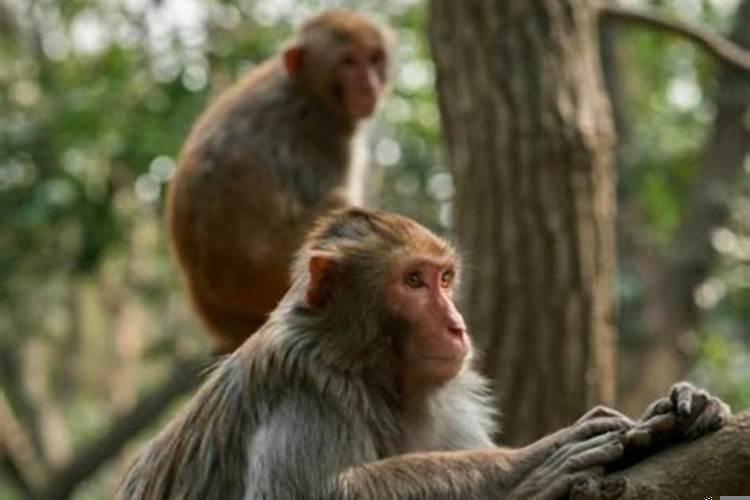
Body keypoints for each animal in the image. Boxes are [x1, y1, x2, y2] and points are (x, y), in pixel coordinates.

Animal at [119, 208, 736, 500]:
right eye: (412, 282)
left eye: (444, 278)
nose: (456, 326)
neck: (368, 368)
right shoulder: (304, 384)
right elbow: (312, 493)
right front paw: (534, 461)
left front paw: (683, 408)